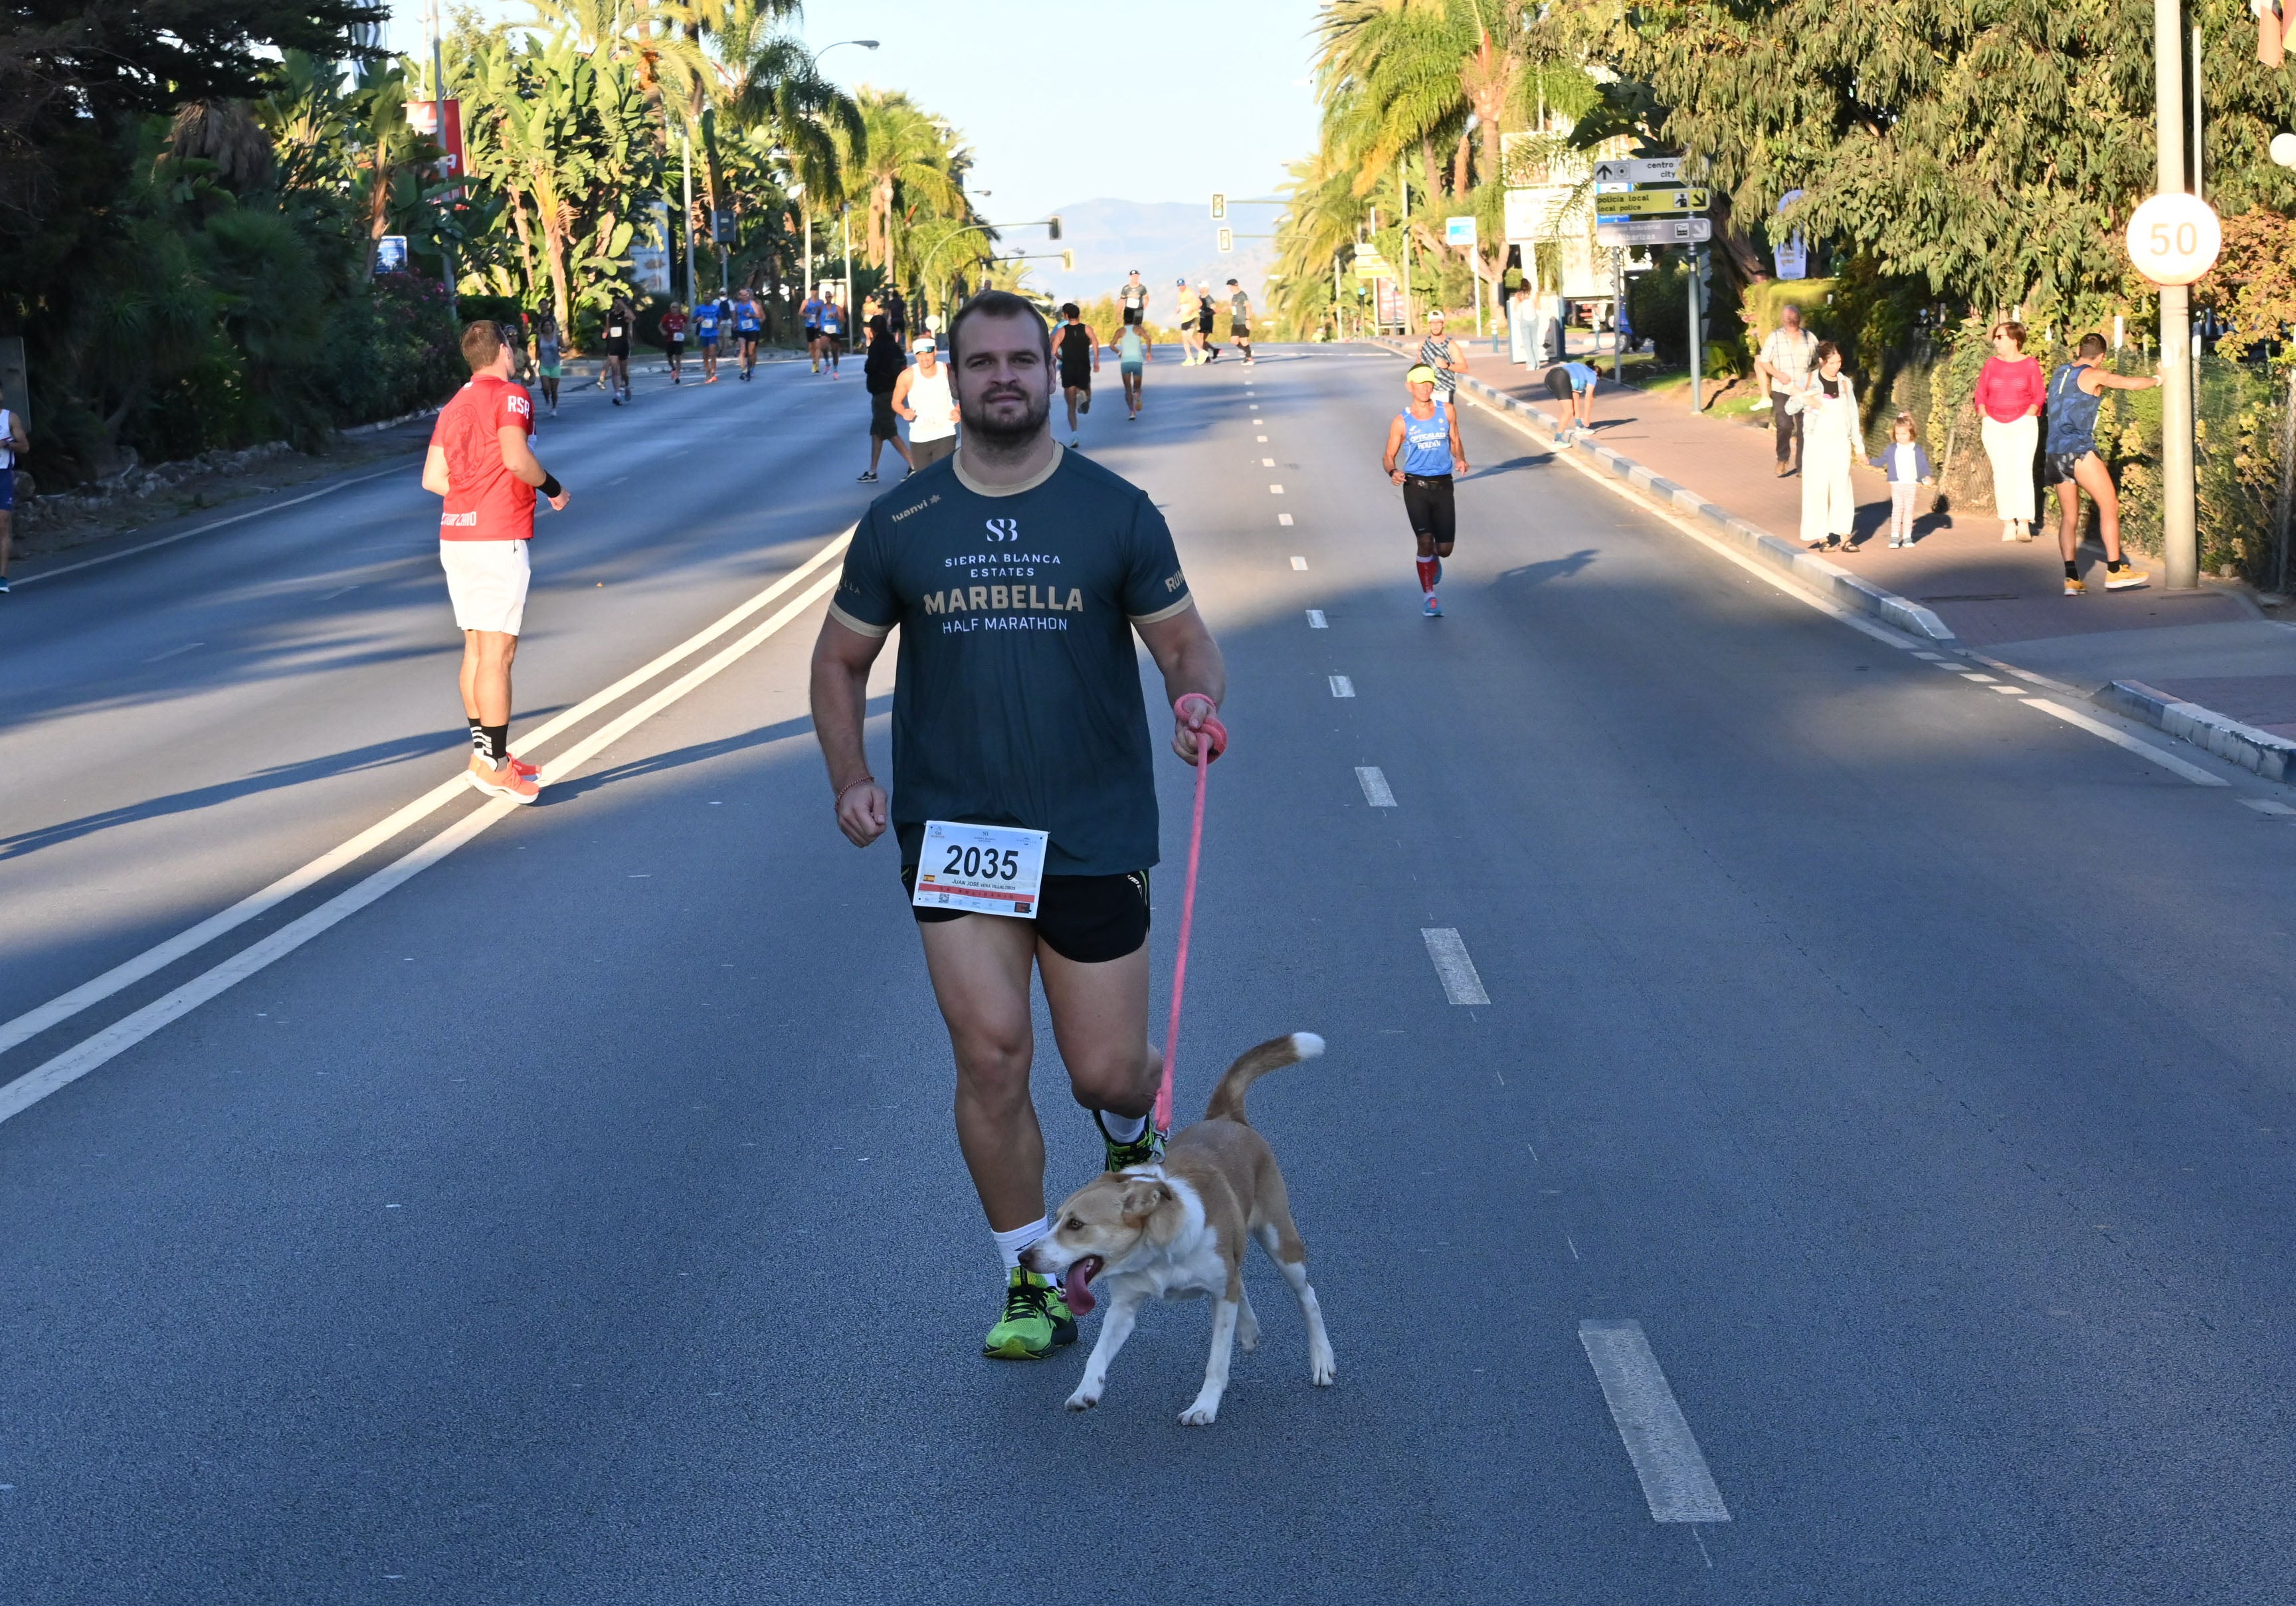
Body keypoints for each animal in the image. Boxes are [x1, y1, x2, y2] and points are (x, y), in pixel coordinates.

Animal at [1019, 1037, 1331, 1422]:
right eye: (1059, 1217)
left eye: (1076, 1224)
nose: (1024, 1257)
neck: (1155, 1254)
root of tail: (1225, 1117)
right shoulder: (1123, 1307)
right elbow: (1097, 1355)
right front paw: (1086, 1391)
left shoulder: (1220, 1293)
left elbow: (1217, 1360)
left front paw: (1204, 1406)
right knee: (1240, 1278)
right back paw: (1249, 1330)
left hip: (1280, 1240)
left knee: (1307, 1296)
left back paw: (1322, 1360)